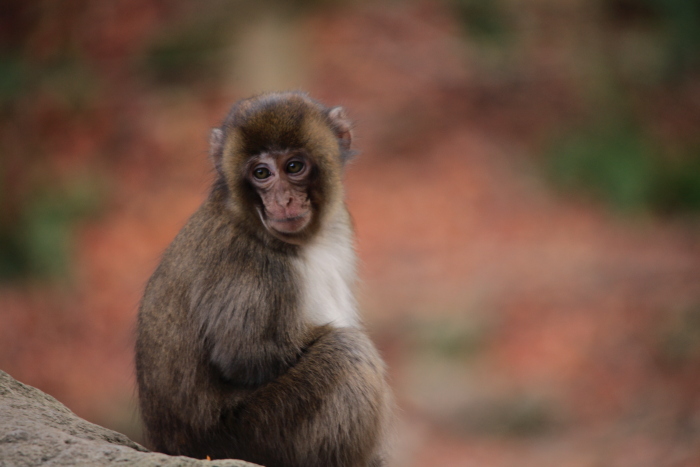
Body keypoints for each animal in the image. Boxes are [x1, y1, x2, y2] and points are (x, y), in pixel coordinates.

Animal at [134, 92, 392, 467]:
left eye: (294, 167)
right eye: (261, 173)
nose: (282, 200)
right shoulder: (250, 266)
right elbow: (245, 357)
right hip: (253, 438)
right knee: (346, 352)